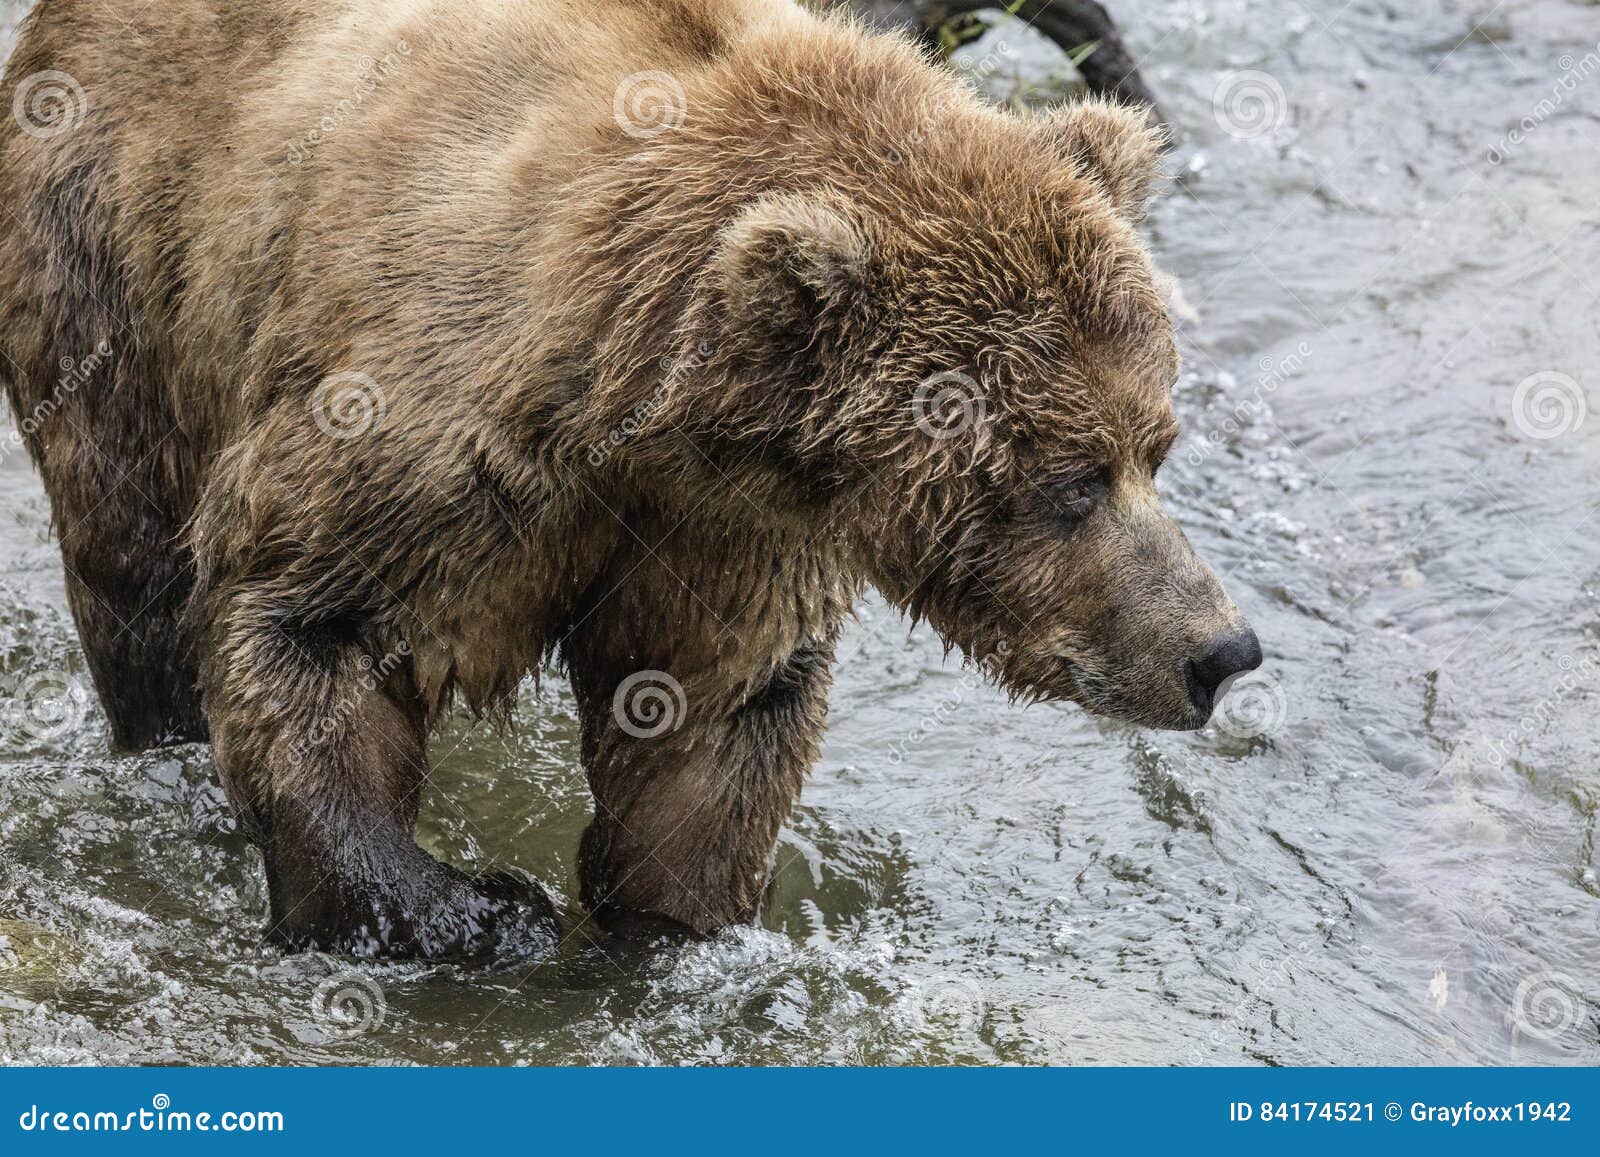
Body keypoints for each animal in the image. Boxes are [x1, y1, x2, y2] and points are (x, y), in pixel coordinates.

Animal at [0, 0, 1254, 960]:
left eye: (1156, 445)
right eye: (1070, 478)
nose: (1220, 650)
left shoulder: (724, 525)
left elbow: (704, 733)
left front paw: (664, 927)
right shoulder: (428, 430)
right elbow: (306, 623)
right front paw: (473, 913)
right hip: (114, 263)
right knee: (133, 558)